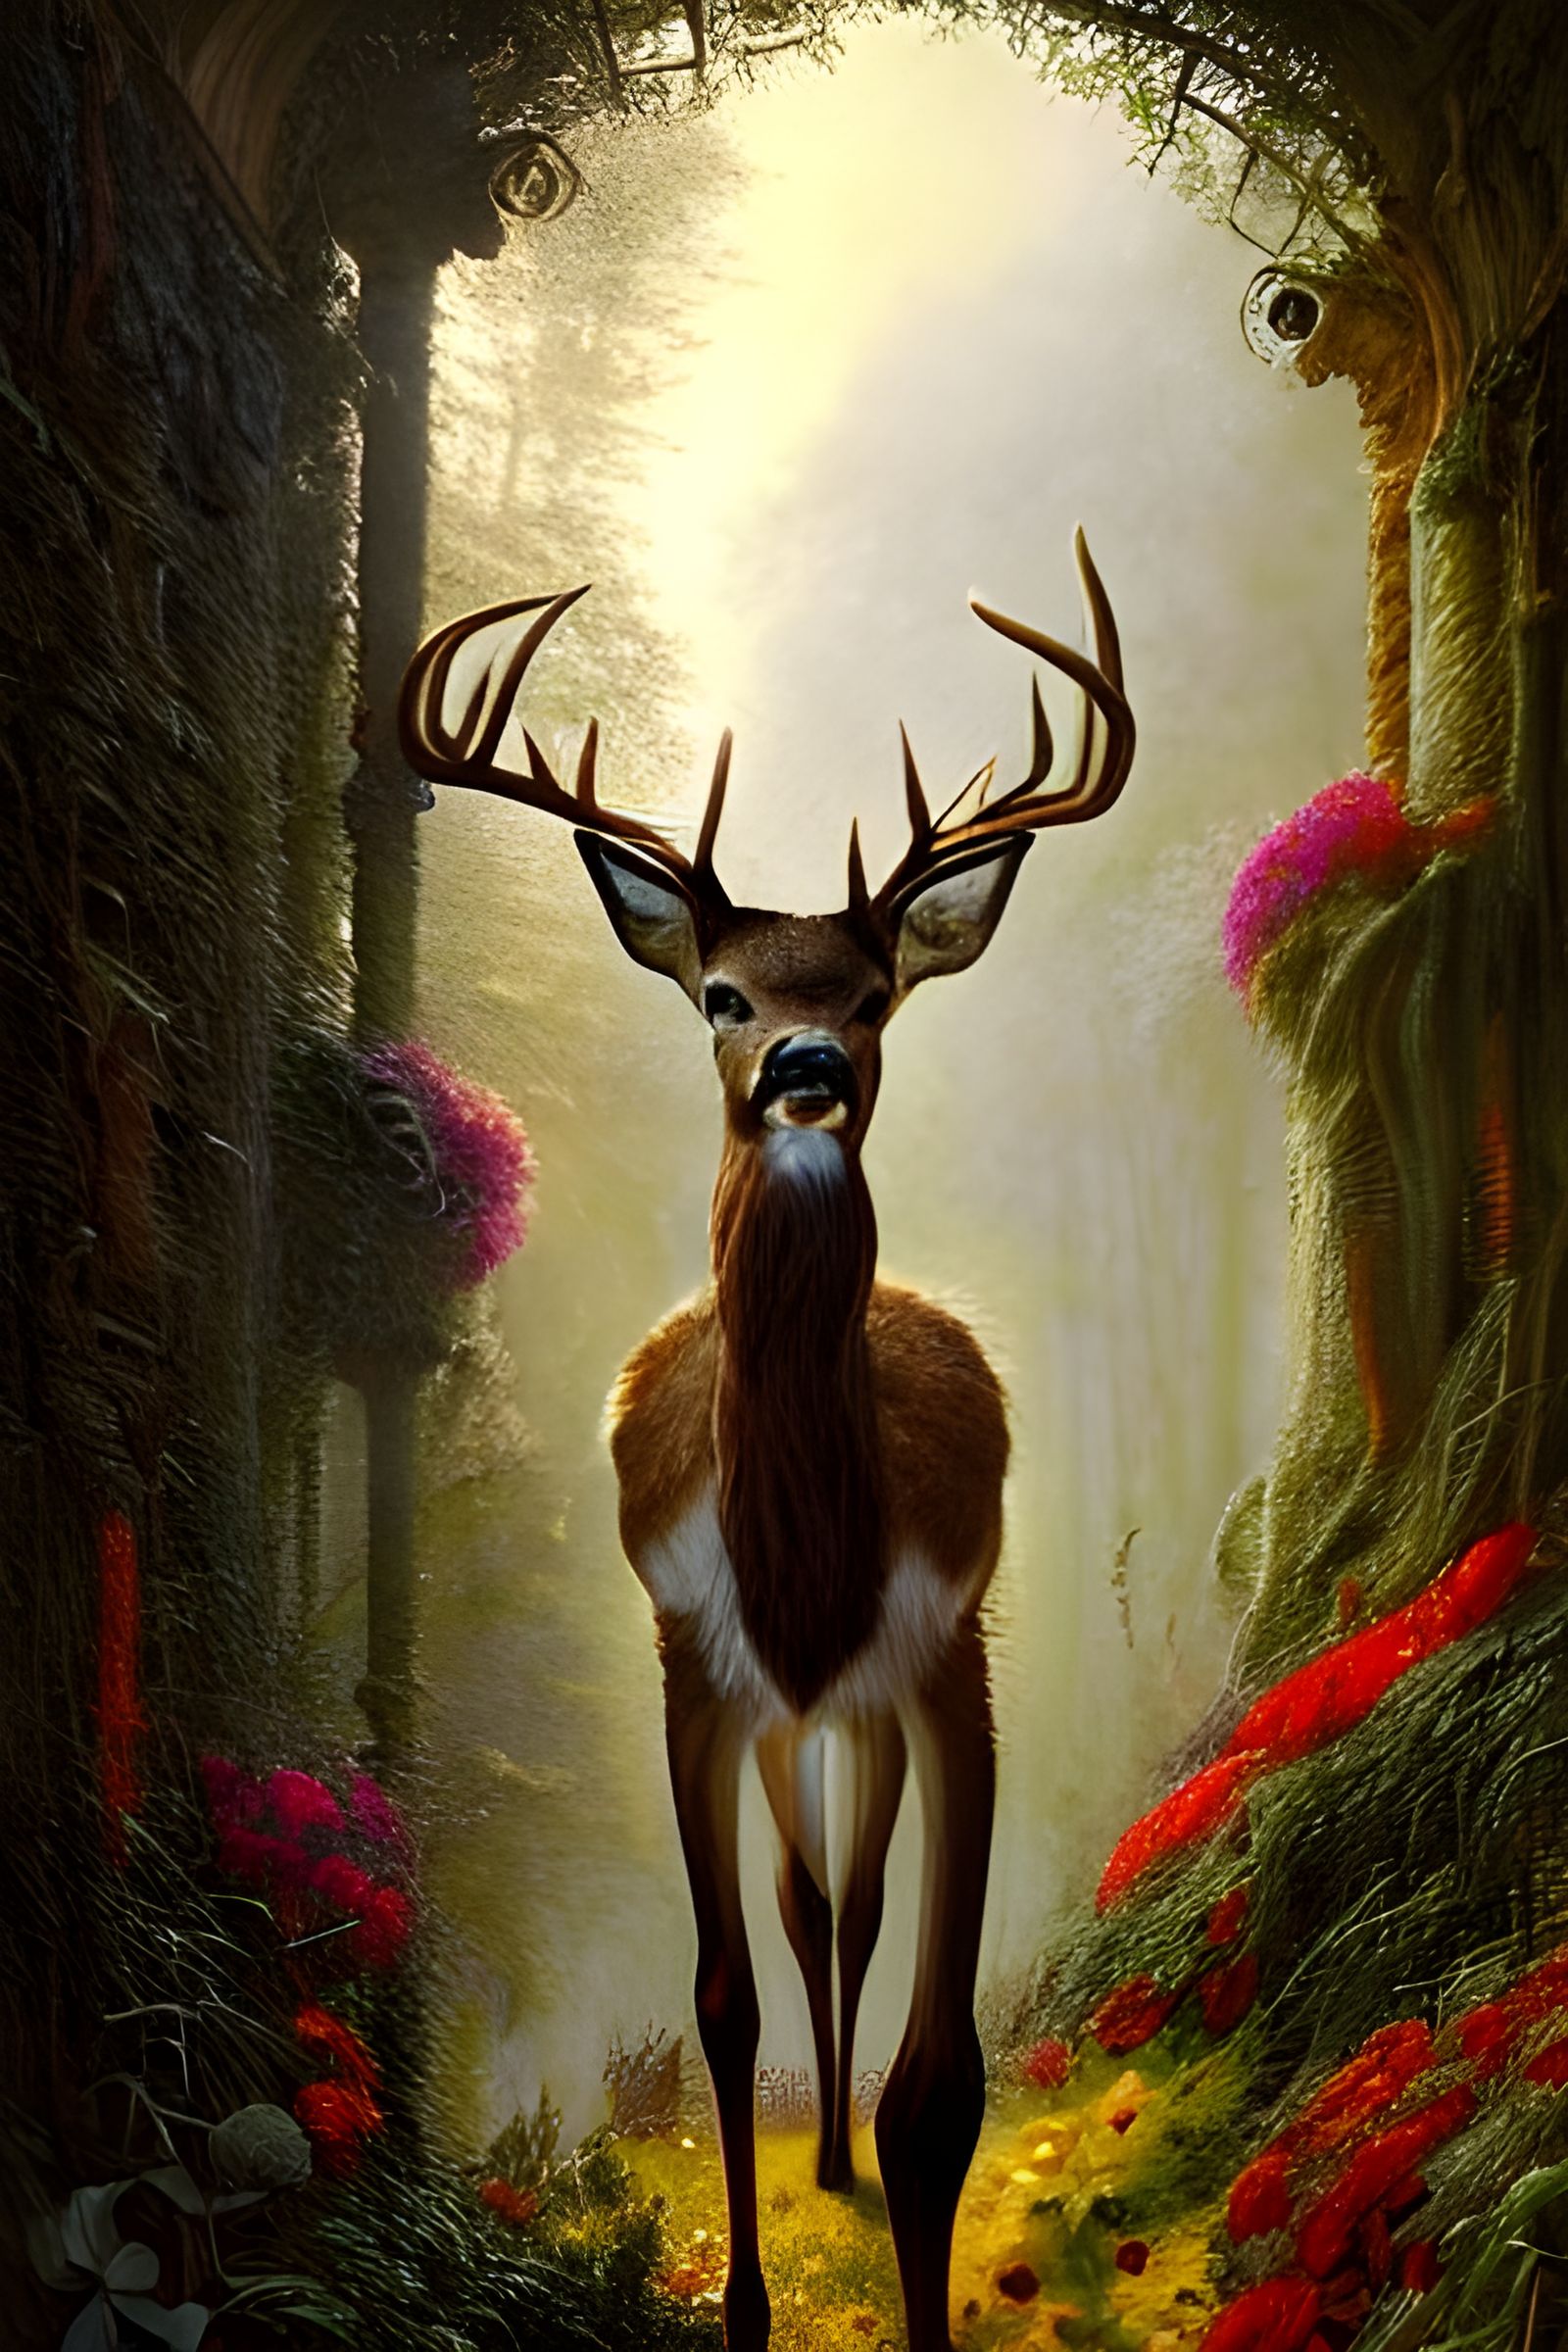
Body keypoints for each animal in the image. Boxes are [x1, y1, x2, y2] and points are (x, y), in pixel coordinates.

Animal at [398, 533, 1134, 2352]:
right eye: (721, 994)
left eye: (872, 996)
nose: (803, 1061)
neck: (806, 1562)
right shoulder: (694, 1657)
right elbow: (723, 1996)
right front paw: (738, 2303)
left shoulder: (947, 1652)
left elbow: (941, 2078)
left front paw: (899, 2240)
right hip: (781, 1714)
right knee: (807, 1915)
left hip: (865, 1707)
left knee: (849, 1909)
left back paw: (842, 2171)